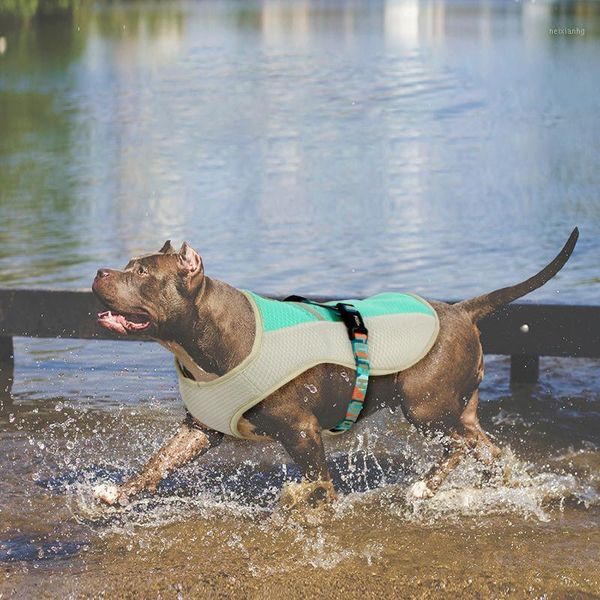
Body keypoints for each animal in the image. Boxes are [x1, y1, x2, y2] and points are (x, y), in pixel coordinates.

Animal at [91, 230, 580, 506]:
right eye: (128, 266)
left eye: (142, 273)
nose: (98, 271)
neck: (208, 335)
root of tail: (461, 311)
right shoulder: (200, 428)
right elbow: (158, 461)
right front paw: (118, 491)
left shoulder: (302, 430)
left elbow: (317, 480)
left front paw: (308, 502)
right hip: (456, 407)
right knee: (484, 445)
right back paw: (496, 481)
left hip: (423, 405)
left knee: (458, 443)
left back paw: (425, 488)